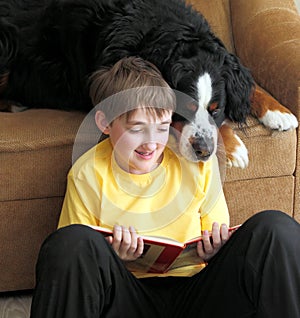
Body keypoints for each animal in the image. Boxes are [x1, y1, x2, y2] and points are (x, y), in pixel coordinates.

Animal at [0, 0, 296, 168]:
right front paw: (235, 149)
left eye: (217, 109)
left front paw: (278, 112)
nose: (203, 152)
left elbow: (250, 86)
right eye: (182, 108)